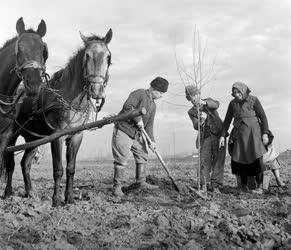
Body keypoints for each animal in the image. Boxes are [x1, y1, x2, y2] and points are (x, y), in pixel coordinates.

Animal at [5, 29, 114, 206]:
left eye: (108, 57)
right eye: (87, 56)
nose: (96, 91)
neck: (70, 98)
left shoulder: (76, 136)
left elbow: (70, 168)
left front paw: (69, 198)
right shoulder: (57, 136)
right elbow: (58, 169)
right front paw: (56, 200)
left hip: (33, 139)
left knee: (25, 163)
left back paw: (30, 193)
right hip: (12, 136)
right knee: (10, 163)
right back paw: (8, 192)